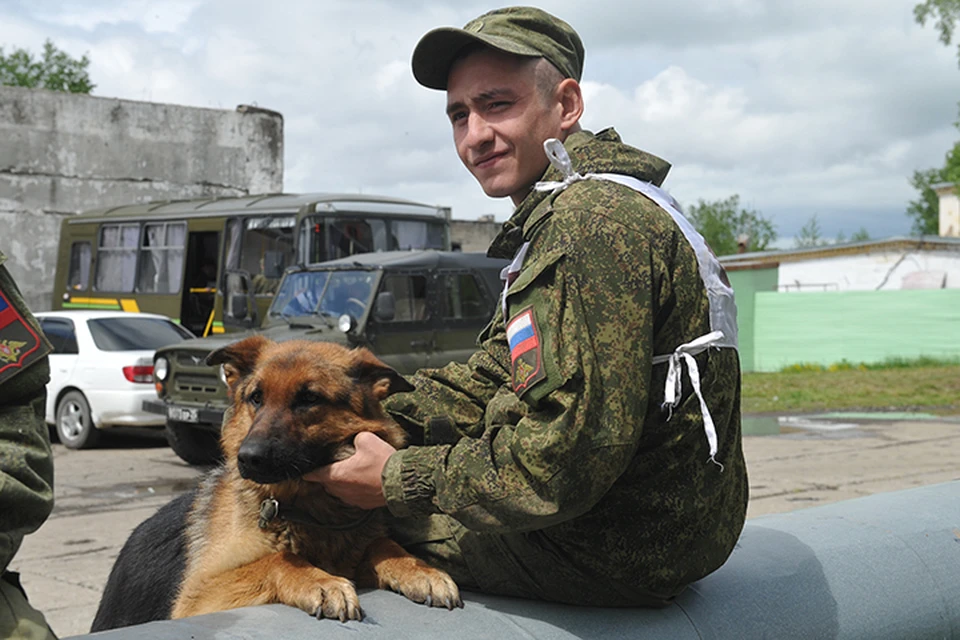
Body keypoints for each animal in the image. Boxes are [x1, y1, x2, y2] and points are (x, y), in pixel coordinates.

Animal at [91, 338, 462, 628]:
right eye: (256, 397)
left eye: (310, 398)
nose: (248, 458)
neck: (309, 512)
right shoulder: (198, 597)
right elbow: (276, 560)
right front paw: (321, 581)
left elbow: (382, 543)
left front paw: (420, 569)